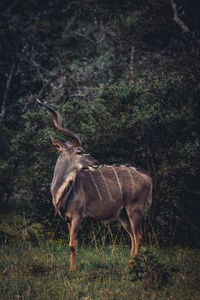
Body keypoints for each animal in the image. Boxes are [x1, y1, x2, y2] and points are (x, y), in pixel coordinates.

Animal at [36, 98, 152, 270]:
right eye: (79, 151)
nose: (96, 162)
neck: (61, 191)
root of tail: (147, 178)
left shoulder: (78, 215)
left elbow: (72, 244)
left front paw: (73, 270)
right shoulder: (68, 219)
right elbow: (71, 243)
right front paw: (72, 268)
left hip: (134, 209)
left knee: (138, 236)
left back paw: (133, 266)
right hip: (123, 214)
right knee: (132, 235)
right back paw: (130, 264)